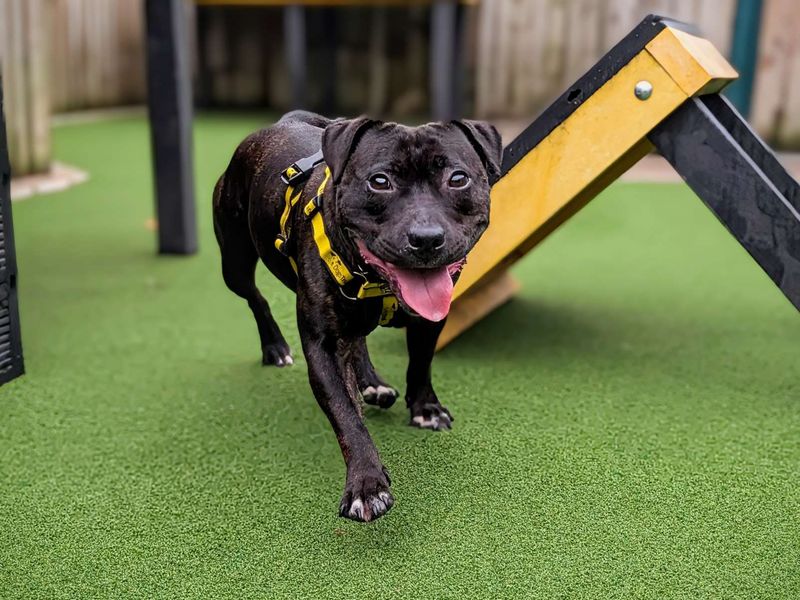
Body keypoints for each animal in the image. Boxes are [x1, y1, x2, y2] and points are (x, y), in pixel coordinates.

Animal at [212, 111, 500, 520]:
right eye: (379, 182)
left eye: (458, 178)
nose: (426, 238)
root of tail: (280, 123)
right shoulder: (323, 347)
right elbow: (347, 416)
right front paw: (366, 484)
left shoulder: (430, 320)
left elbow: (420, 363)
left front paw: (425, 407)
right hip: (234, 263)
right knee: (255, 297)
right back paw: (274, 346)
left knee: (358, 338)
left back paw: (372, 382)